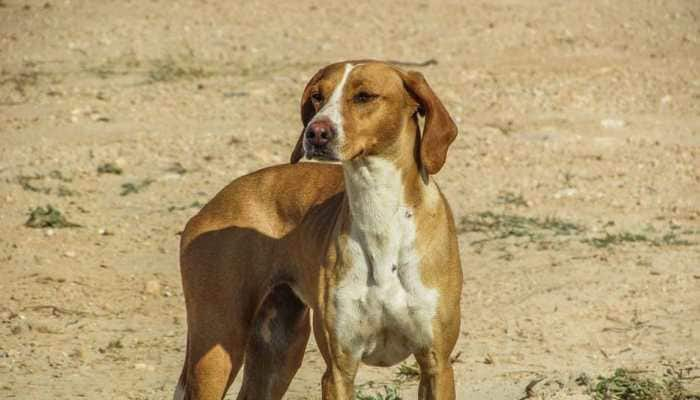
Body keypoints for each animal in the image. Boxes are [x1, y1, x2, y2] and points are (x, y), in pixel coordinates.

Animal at [175, 60, 462, 400]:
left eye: (364, 96)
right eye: (317, 96)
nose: (316, 132)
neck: (379, 210)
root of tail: (211, 206)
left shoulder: (437, 365)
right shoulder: (338, 369)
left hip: (278, 350)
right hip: (216, 347)